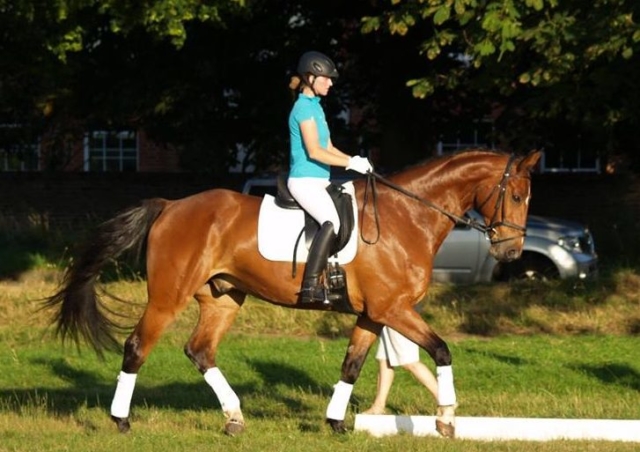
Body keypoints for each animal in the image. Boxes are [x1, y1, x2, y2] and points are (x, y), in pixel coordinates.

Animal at [43, 149, 540, 438]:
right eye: (516, 196)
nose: (512, 252)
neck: (407, 215)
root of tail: (170, 206)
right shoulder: (394, 309)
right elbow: (441, 350)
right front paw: (446, 419)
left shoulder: (373, 313)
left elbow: (352, 365)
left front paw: (336, 423)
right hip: (168, 297)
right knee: (137, 346)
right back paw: (122, 420)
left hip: (224, 298)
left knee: (200, 350)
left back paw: (235, 418)